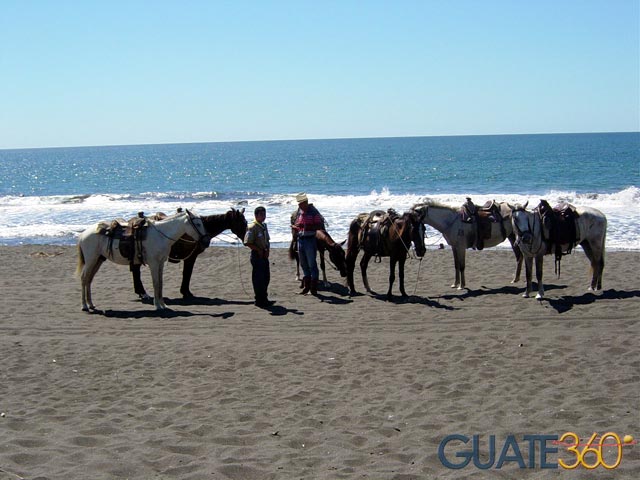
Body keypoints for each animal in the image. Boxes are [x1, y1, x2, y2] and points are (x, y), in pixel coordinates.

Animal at [76, 209, 208, 311]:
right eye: (197, 223)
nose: (206, 241)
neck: (160, 235)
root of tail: (83, 234)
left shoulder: (160, 263)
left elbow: (160, 283)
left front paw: (163, 305)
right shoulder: (154, 264)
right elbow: (156, 283)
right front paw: (157, 306)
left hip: (98, 260)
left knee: (89, 280)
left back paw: (91, 304)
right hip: (91, 260)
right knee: (84, 279)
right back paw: (84, 306)